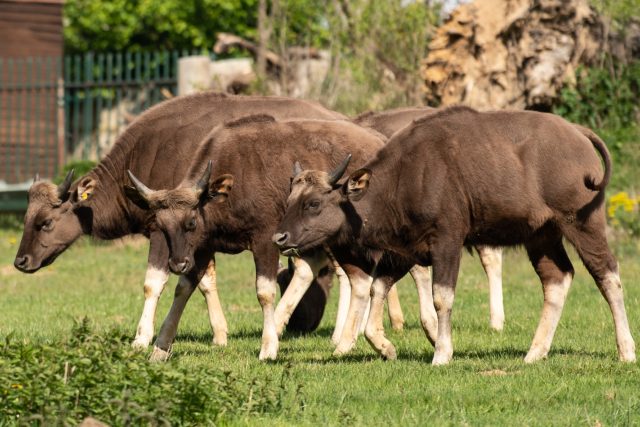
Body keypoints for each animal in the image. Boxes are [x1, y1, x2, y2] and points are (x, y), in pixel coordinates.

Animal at [274, 106, 636, 364]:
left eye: (314, 203)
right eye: (290, 200)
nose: (280, 238)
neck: (406, 178)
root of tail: (577, 133)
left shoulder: (447, 241)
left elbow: (441, 297)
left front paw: (442, 353)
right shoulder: (406, 250)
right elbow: (379, 286)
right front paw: (384, 345)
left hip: (582, 223)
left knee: (608, 275)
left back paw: (626, 350)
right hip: (541, 235)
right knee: (557, 278)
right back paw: (535, 352)